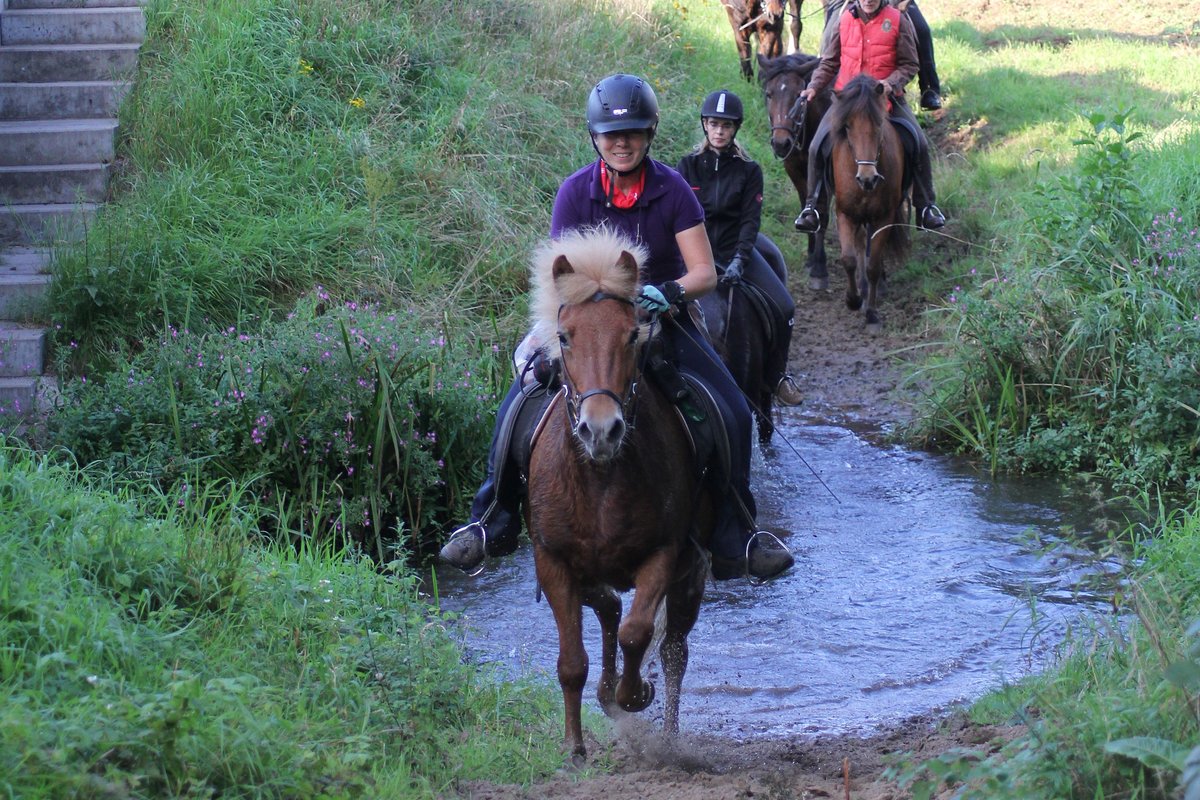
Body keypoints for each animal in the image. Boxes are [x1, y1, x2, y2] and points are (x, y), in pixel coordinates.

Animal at [523, 225, 710, 762]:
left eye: (632, 334)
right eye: (564, 337)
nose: (601, 430)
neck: (601, 480)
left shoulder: (665, 555)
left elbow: (637, 632)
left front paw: (634, 694)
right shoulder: (552, 560)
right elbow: (573, 659)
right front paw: (573, 747)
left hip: (692, 574)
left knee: (672, 649)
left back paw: (665, 736)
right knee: (607, 608)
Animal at [758, 50, 835, 287]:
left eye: (798, 95)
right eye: (769, 94)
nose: (781, 143)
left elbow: (822, 210)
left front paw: (819, 268)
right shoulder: (794, 169)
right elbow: (805, 202)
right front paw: (811, 256)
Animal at [825, 76, 907, 333]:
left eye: (879, 124)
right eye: (848, 127)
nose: (867, 178)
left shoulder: (884, 217)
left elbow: (873, 265)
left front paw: (871, 313)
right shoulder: (845, 214)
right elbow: (849, 259)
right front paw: (853, 299)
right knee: (860, 245)